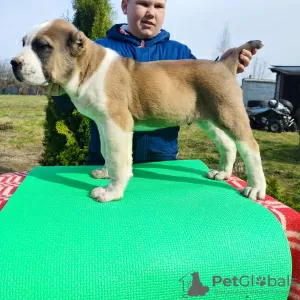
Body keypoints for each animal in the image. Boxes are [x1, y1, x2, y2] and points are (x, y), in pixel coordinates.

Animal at [10, 18, 266, 202]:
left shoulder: (117, 122)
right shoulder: (104, 123)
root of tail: (223, 64)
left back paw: (255, 188)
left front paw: (111, 192)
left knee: (250, 147)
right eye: (23, 43)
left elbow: (117, 157)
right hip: (209, 119)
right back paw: (222, 173)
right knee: (228, 144)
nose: (13, 63)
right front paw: (105, 172)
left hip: (230, 115)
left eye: (43, 47)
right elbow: (106, 151)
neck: (88, 67)